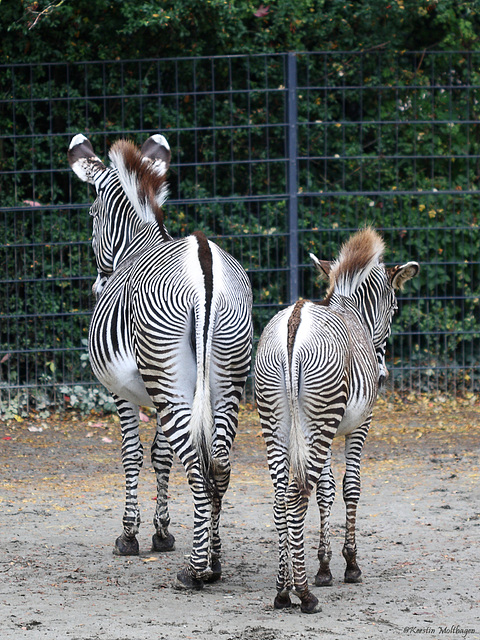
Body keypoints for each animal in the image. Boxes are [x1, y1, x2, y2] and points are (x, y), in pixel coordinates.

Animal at [70, 135, 255, 592]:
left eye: (91, 213)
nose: (97, 285)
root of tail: (204, 262)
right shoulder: (155, 392)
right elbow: (160, 454)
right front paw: (163, 531)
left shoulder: (123, 392)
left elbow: (133, 454)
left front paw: (131, 535)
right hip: (227, 378)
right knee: (219, 461)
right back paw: (214, 561)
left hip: (169, 377)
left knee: (197, 462)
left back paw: (194, 570)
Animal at [256, 230, 418, 616]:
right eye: (395, 308)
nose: (383, 377)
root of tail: (295, 320)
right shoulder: (359, 425)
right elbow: (350, 487)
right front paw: (350, 564)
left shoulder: (327, 430)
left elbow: (327, 490)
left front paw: (324, 566)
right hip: (319, 421)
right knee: (297, 496)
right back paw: (302, 594)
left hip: (278, 422)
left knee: (280, 497)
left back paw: (282, 589)